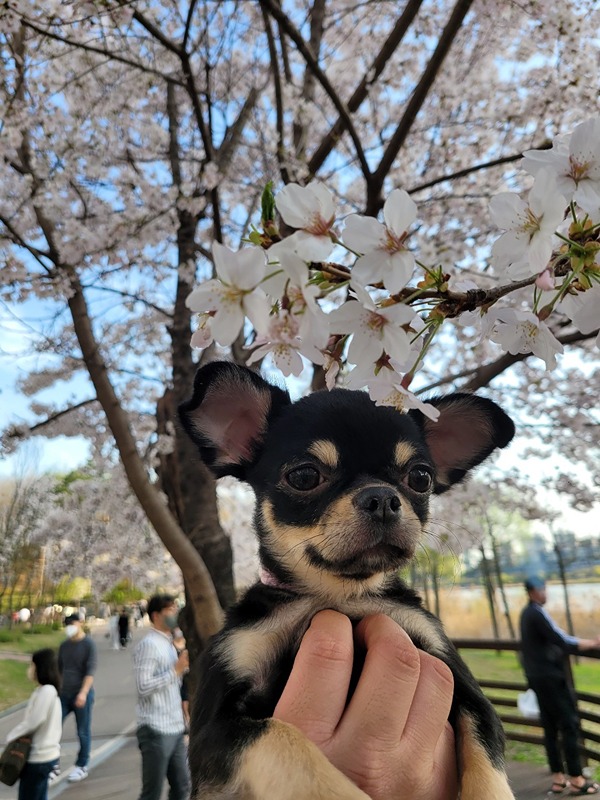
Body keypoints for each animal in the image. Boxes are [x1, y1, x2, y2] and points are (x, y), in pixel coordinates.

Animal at [177, 364, 516, 800]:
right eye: (305, 476)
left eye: (420, 478)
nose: (382, 498)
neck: (339, 594)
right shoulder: (213, 731)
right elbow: (284, 741)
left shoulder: (467, 692)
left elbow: (488, 768)